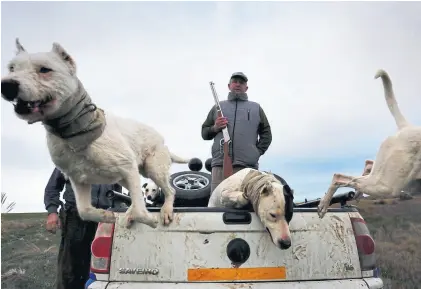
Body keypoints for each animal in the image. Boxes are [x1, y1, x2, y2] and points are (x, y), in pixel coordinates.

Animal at [0, 37, 191, 227]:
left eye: (45, 69)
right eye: (12, 68)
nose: (7, 85)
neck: (77, 134)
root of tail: (163, 142)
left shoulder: (128, 168)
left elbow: (140, 209)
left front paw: (150, 220)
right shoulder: (79, 180)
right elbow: (85, 211)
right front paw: (106, 216)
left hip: (153, 168)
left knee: (170, 190)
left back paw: (165, 210)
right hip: (127, 176)